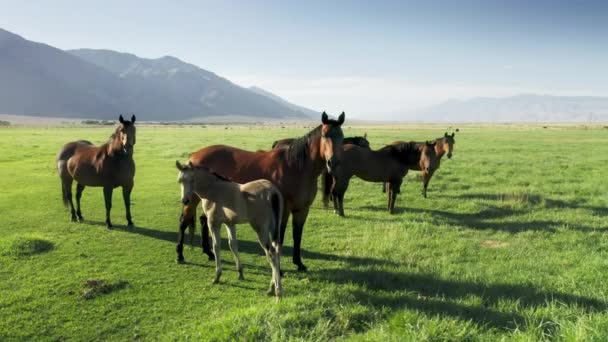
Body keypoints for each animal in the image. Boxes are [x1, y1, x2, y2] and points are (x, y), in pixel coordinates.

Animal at [173, 162, 282, 298]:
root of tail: (272, 191)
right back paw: (273, 287)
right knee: (276, 251)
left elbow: (216, 246)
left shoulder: (213, 223)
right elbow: (233, 245)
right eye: (180, 180)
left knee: (271, 253)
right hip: (274, 228)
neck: (213, 190)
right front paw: (240, 273)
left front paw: (217, 276)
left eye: (192, 180)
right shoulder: (230, 224)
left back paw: (276, 290)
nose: (185, 200)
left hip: (260, 229)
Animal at [177, 111, 346, 272]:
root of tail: (194, 156)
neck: (296, 168)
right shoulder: (283, 210)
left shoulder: (302, 209)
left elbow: (297, 235)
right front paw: (280, 268)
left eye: (342, 137)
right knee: (184, 221)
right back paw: (180, 255)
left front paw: (299, 263)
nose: (333, 162)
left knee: (203, 220)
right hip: (192, 200)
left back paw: (209, 253)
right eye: (324, 135)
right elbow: (279, 236)